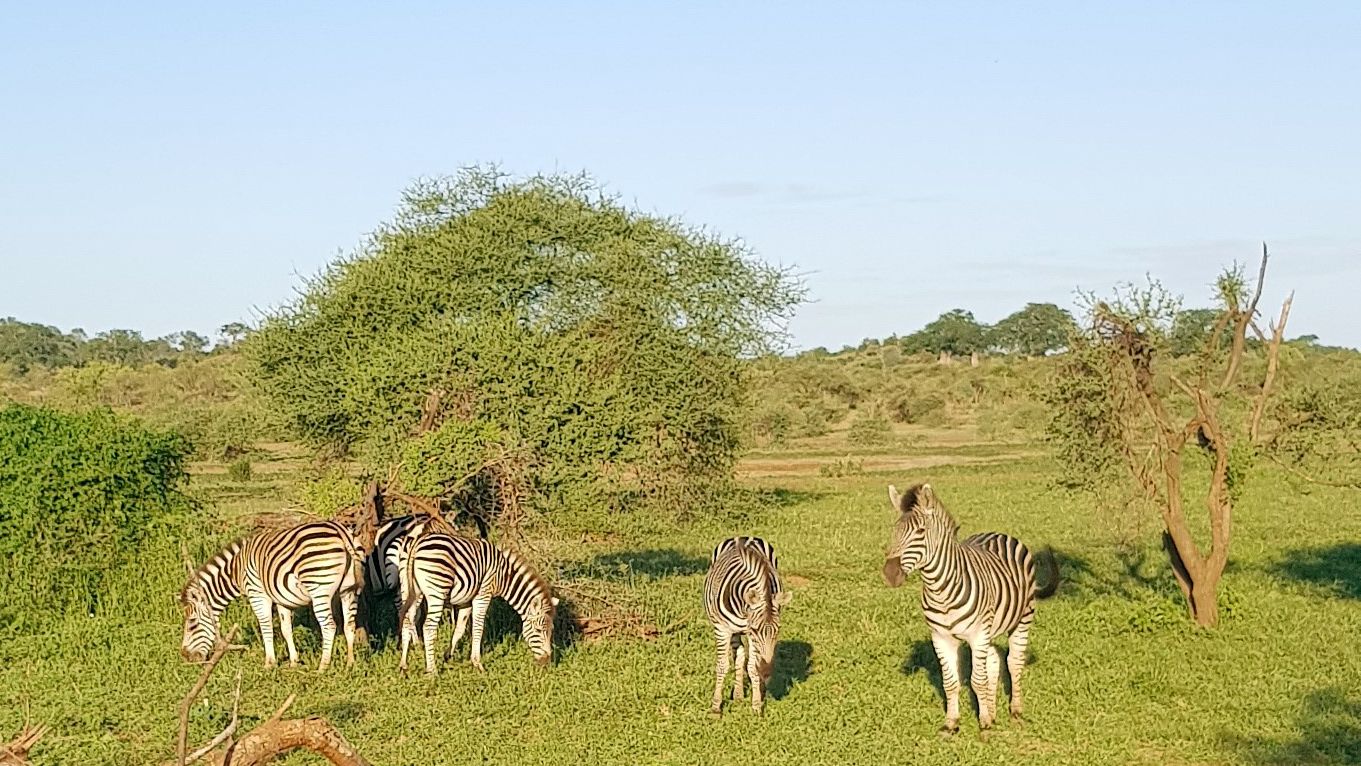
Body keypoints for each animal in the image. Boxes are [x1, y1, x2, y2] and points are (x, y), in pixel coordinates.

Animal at [179, 519, 365, 671]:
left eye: (192, 624)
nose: (186, 657)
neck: (236, 570)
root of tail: (342, 533)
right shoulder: (282, 598)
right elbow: (286, 629)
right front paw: (293, 662)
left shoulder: (257, 594)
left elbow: (266, 627)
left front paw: (269, 663)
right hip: (349, 590)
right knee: (350, 625)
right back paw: (350, 664)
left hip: (319, 588)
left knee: (329, 626)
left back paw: (323, 667)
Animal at [397, 532, 558, 674]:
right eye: (538, 630)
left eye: (551, 630)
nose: (546, 662)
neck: (504, 576)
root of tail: (417, 543)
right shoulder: (483, 594)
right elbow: (478, 628)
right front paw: (477, 664)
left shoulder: (466, 601)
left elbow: (459, 629)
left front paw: (448, 656)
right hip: (437, 592)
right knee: (428, 628)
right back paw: (432, 670)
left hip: (410, 590)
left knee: (407, 620)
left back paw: (403, 666)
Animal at [703, 535, 792, 716]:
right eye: (756, 629)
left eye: (778, 630)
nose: (767, 672)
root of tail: (742, 537)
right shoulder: (722, 629)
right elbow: (722, 665)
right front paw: (716, 707)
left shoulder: (752, 637)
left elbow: (752, 667)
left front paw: (757, 705)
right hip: (732, 630)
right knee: (738, 655)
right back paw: (737, 694)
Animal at [881, 482, 1059, 735]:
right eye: (894, 531)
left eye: (920, 532)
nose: (889, 574)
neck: (940, 591)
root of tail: (997, 533)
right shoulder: (941, 637)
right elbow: (951, 682)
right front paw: (952, 723)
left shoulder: (977, 635)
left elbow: (977, 680)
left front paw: (983, 724)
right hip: (990, 629)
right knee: (994, 662)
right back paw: (993, 712)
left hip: (1021, 619)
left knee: (1013, 663)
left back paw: (1015, 711)